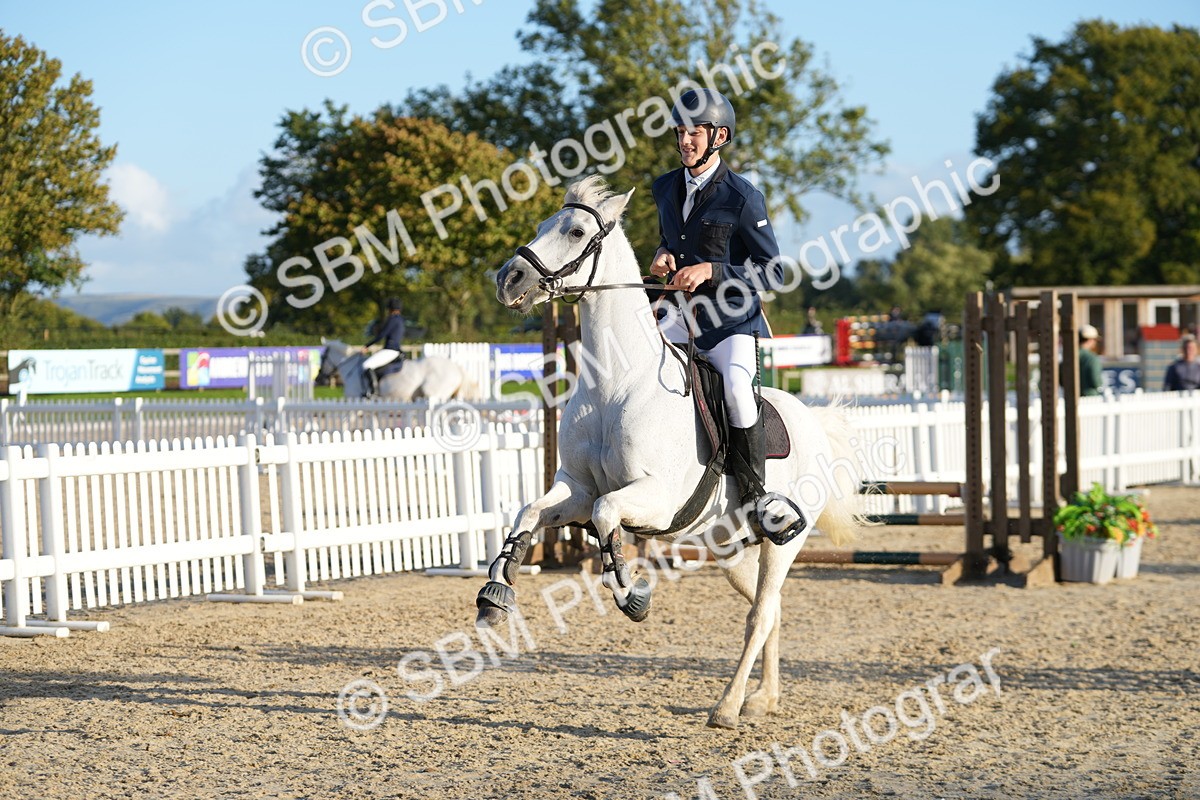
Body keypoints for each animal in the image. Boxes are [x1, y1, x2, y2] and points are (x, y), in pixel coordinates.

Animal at [475, 175, 863, 730]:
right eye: (544, 224)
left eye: (575, 232)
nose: (508, 279)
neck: (615, 383)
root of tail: (810, 419)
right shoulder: (574, 489)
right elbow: (531, 511)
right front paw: (495, 594)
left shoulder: (653, 498)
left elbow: (606, 513)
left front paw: (632, 594)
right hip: (730, 548)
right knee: (770, 609)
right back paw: (763, 699)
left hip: (783, 542)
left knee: (762, 611)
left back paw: (728, 706)